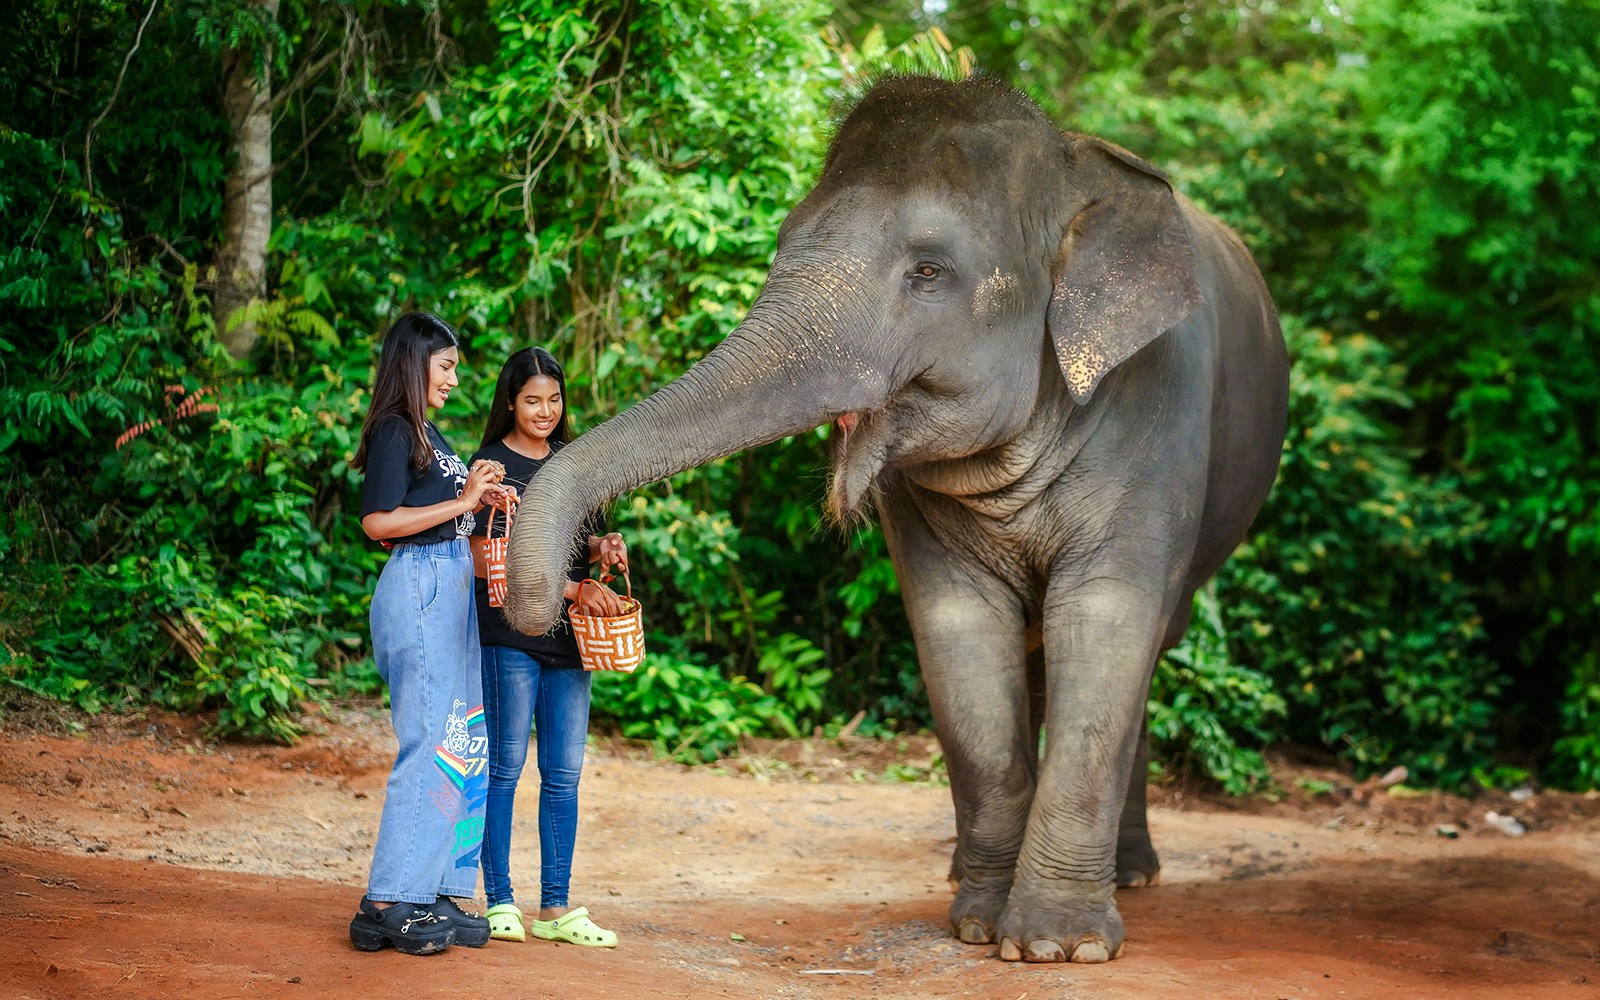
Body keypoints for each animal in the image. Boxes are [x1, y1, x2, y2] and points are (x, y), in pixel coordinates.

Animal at [503, 74, 1289, 964]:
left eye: (929, 270)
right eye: (783, 242)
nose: (543, 603)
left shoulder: (1160, 414)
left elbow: (1109, 622)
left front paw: (1058, 947)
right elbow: (958, 635)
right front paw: (978, 925)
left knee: (1145, 646)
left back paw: (1133, 877)